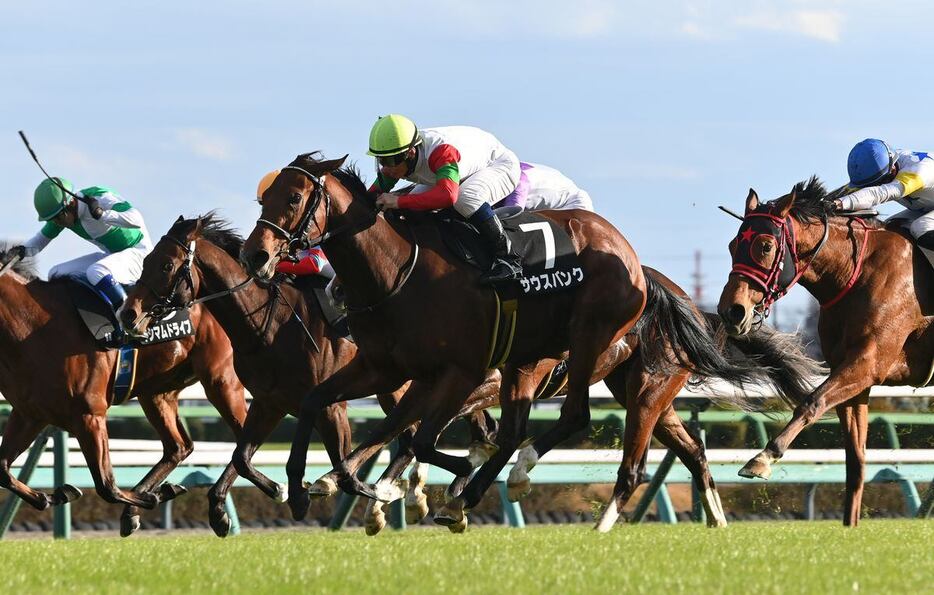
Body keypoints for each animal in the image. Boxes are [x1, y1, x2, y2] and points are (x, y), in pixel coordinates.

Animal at [0, 244, 256, 536]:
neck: (31, 328)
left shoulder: (89, 414)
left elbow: (107, 486)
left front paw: (156, 495)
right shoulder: (29, 414)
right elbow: (2, 470)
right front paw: (52, 496)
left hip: (220, 381)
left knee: (244, 437)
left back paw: (221, 506)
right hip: (156, 394)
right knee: (179, 447)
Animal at [241, 154, 804, 528]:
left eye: (294, 197)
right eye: (263, 197)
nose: (256, 256)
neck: (399, 269)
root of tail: (642, 268)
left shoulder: (460, 373)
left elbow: (419, 437)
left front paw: (411, 485)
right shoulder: (389, 367)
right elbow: (333, 408)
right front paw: (311, 485)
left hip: (597, 350)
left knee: (582, 426)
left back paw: (516, 480)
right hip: (630, 389)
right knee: (690, 453)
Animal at [720, 177, 932, 528]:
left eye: (765, 246)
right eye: (732, 244)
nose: (732, 311)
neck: (854, 273)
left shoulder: (867, 363)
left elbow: (812, 402)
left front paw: (762, 458)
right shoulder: (851, 373)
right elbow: (856, 458)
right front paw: (850, 525)